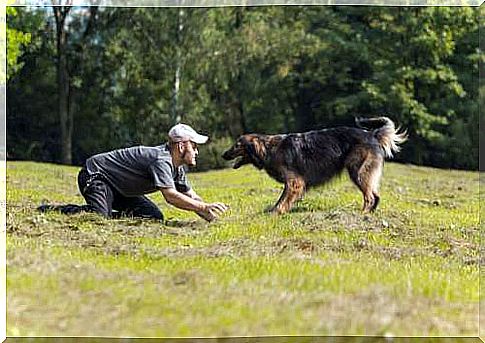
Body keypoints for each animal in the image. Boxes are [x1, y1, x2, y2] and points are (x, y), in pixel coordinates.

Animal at [221, 118, 406, 215]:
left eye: (237, 145)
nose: (223, 154)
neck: (269, 149)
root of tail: (372, 134)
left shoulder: (294, 182)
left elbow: (283, 199)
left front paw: (276, 212)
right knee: (376, 196)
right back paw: (369, 214)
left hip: (357, 171)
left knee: (370, 197)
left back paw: (362, 213)